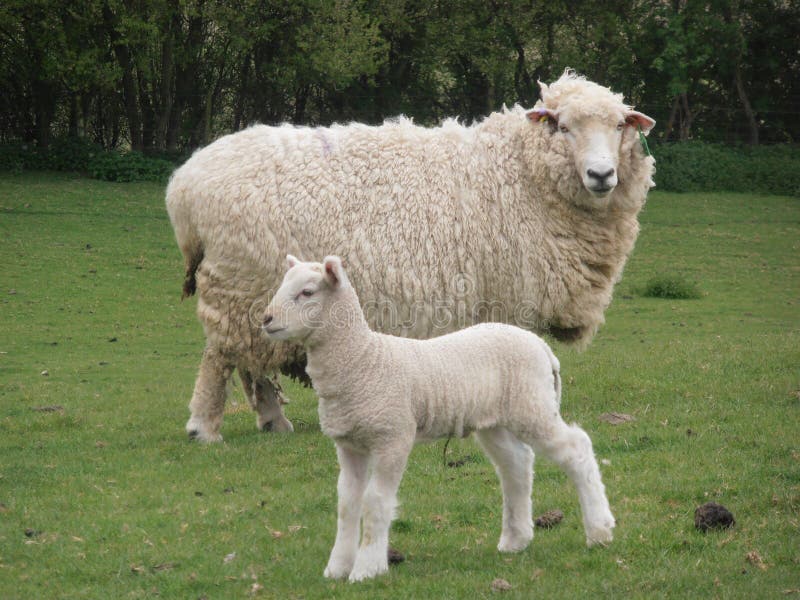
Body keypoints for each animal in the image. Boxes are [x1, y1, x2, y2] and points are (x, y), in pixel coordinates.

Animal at [166, 68, 655, 442]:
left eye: (619, 126)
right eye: (563, 126)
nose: (601, 175)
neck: (521, 171)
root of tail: (185, 186)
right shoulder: (506, 296)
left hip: (255, 291)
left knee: (252, 360)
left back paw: (273, 422)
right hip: (238, 284)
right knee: (220, 358)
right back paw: (204, 427)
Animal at [262, 255, 615, 582]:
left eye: (307, 292)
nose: (266, 319)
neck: (363, 359)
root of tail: (542, 347)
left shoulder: (393, 437)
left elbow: (375, 502)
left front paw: (367, 568)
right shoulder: (349, 444)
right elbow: (347, 504)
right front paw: (337, 567)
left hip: (533, 406)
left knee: (577, 448)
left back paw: (599, 530)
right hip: (495, 421)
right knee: (516, 464)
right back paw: (516, 539)